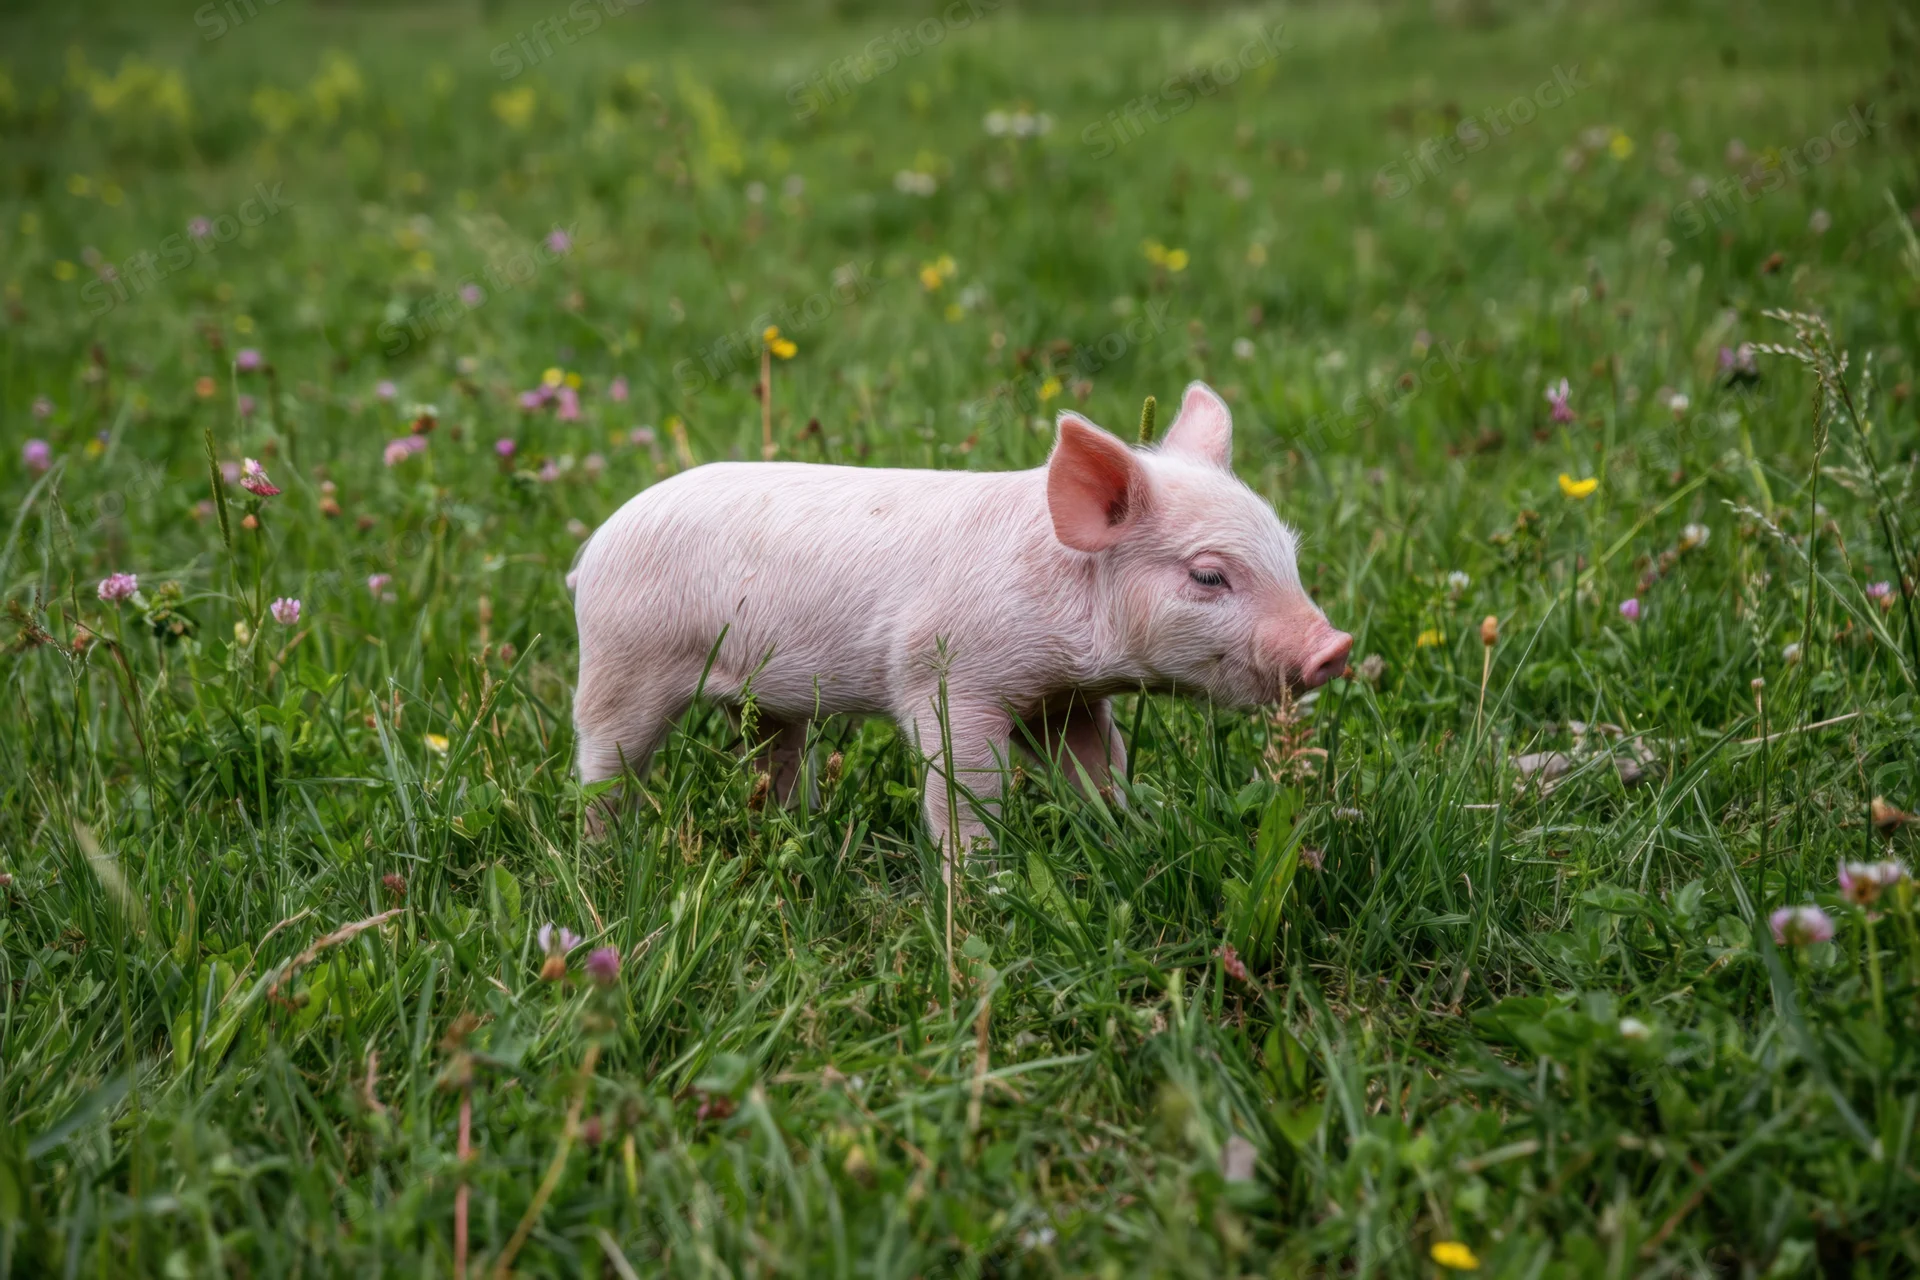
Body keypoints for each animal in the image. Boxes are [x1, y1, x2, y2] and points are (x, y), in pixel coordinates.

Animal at [571, 382, 1351, 851]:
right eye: (1209, 575)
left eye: (1289, 554)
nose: (1335, 647)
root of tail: (591, 552)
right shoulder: (945, 677)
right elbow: (967, 786)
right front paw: (981, 889)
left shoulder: (1065, 700)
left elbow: (1102, 766)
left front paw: (1128, 834)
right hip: (623, 661)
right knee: (607, 765)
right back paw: (605, 858)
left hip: (765, 700)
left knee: (776, 757)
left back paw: (798, 833)